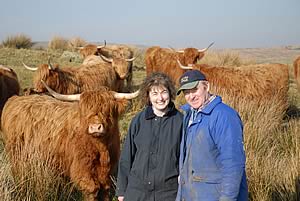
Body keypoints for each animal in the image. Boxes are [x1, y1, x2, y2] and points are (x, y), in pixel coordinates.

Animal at [0, 85, 139, 201]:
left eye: (107, 110)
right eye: (85, 111)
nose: (95, 127)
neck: (101, 149)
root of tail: (15, 99)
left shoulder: (107, 172)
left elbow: (104, 190)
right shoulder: (82, 170)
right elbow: (92, 190)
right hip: (17, 156)